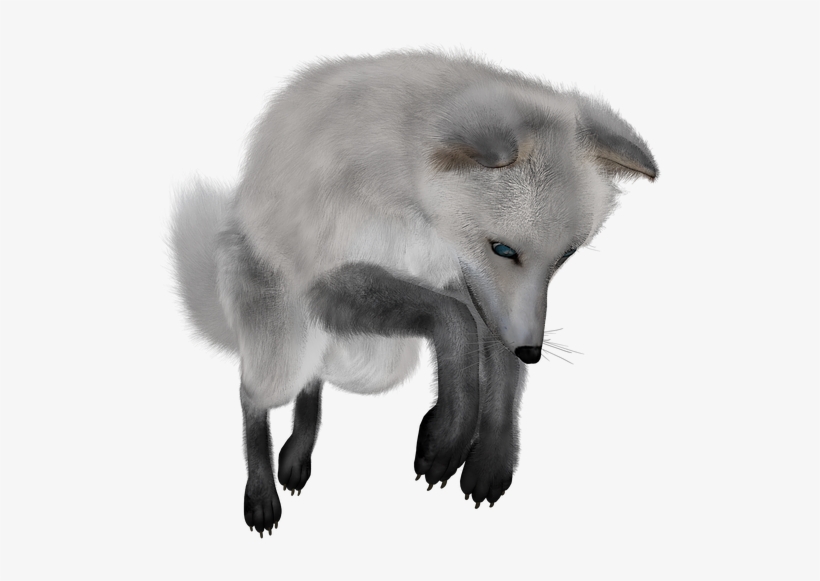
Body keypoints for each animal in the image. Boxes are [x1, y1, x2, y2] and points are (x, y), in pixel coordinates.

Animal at [170, 50, 658, 537]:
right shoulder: (328, 284)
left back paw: (297, 454)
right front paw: (448, 438)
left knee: (314, 382)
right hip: (290, 354)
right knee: (252, 397)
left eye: (565, 256)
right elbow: (452, 323)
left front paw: (489, 458)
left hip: (376, 367)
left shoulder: (467, 284)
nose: (533, 352)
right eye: (503, 249)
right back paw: (261, 491)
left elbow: (496, 364)